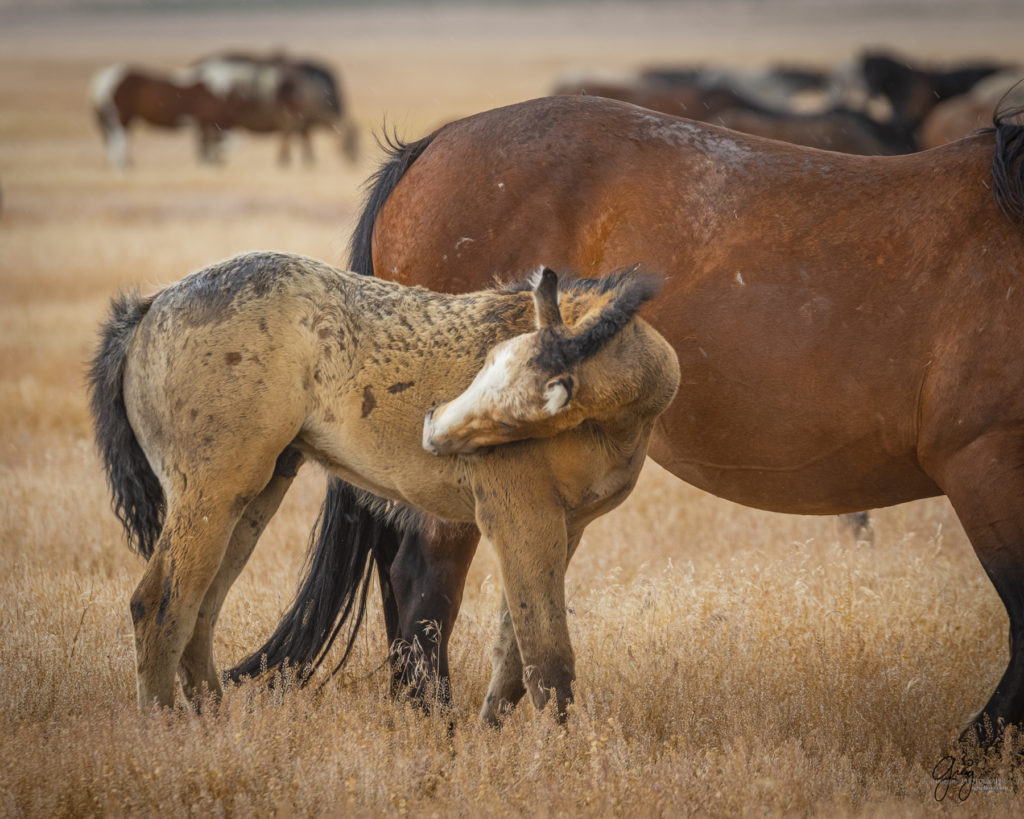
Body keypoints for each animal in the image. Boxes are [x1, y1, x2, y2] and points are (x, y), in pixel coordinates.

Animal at [88, 250, 679, 716]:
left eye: (517, 418)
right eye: (488, 360)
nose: (434, 430)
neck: (613, 424)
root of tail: (150, 307)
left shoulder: (566, 528)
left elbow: (513, 657)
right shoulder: (520, 519)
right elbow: (547, 661)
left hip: (251, 497)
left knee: (200, 608)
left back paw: (214, 723)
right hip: (211, 493)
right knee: (158, 604)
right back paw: (167, 731)